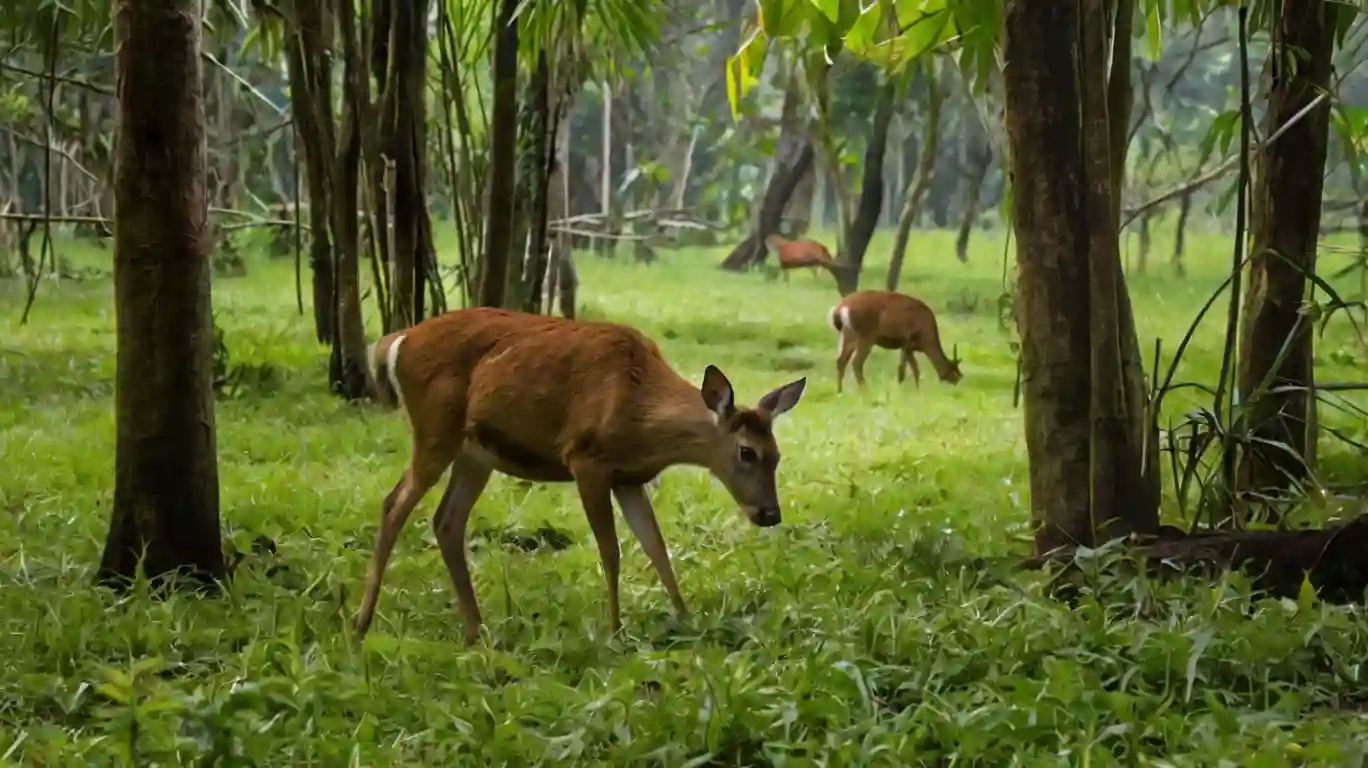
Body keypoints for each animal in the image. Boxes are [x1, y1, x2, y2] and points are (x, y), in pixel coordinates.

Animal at [355, 305, 809, 640]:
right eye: (747, 452)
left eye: (777, 455)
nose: (770, 514)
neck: (641, 407)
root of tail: (396, 341)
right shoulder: (586, 458)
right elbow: (611, 551)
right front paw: (615, 630)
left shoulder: (629, 478)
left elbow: (656, 547)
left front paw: (685, 618)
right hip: (435, 429)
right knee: (393, 505)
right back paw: (362, 623)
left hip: (475, 453)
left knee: (447, 521)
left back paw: (476, 630)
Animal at [820, 288, 963, 391]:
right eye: (955, 372)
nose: (958, 382)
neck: (927, 336)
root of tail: (840, 308)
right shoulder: (907, 341)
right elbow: (905, 370)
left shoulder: (908, 347)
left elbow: (914, 370)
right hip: (866, 336)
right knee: (856, 362)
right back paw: (865, 391)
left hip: (847, 335)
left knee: (840, 360)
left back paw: (839, 391)